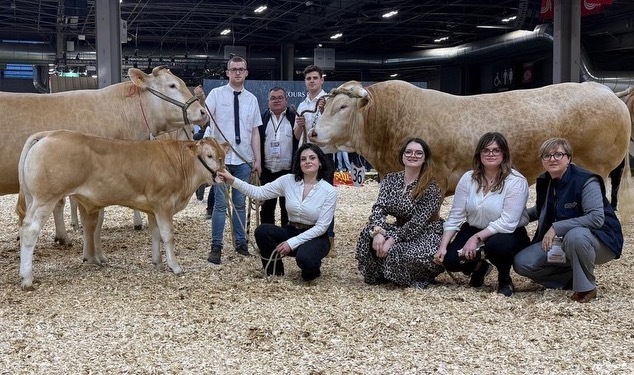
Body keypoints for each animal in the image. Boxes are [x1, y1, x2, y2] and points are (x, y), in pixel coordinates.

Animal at [16, 131, 228, 292]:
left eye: (222, 156)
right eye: (209, 155)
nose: (221, 176)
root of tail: (50, 134)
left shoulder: (153, 209)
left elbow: (155, 234)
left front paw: (158, 262)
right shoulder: (164, 204)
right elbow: (168, 235)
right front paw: (175, 266)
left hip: (34, 198)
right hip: (46, 198)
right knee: (30, 230)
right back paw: (27, 278)